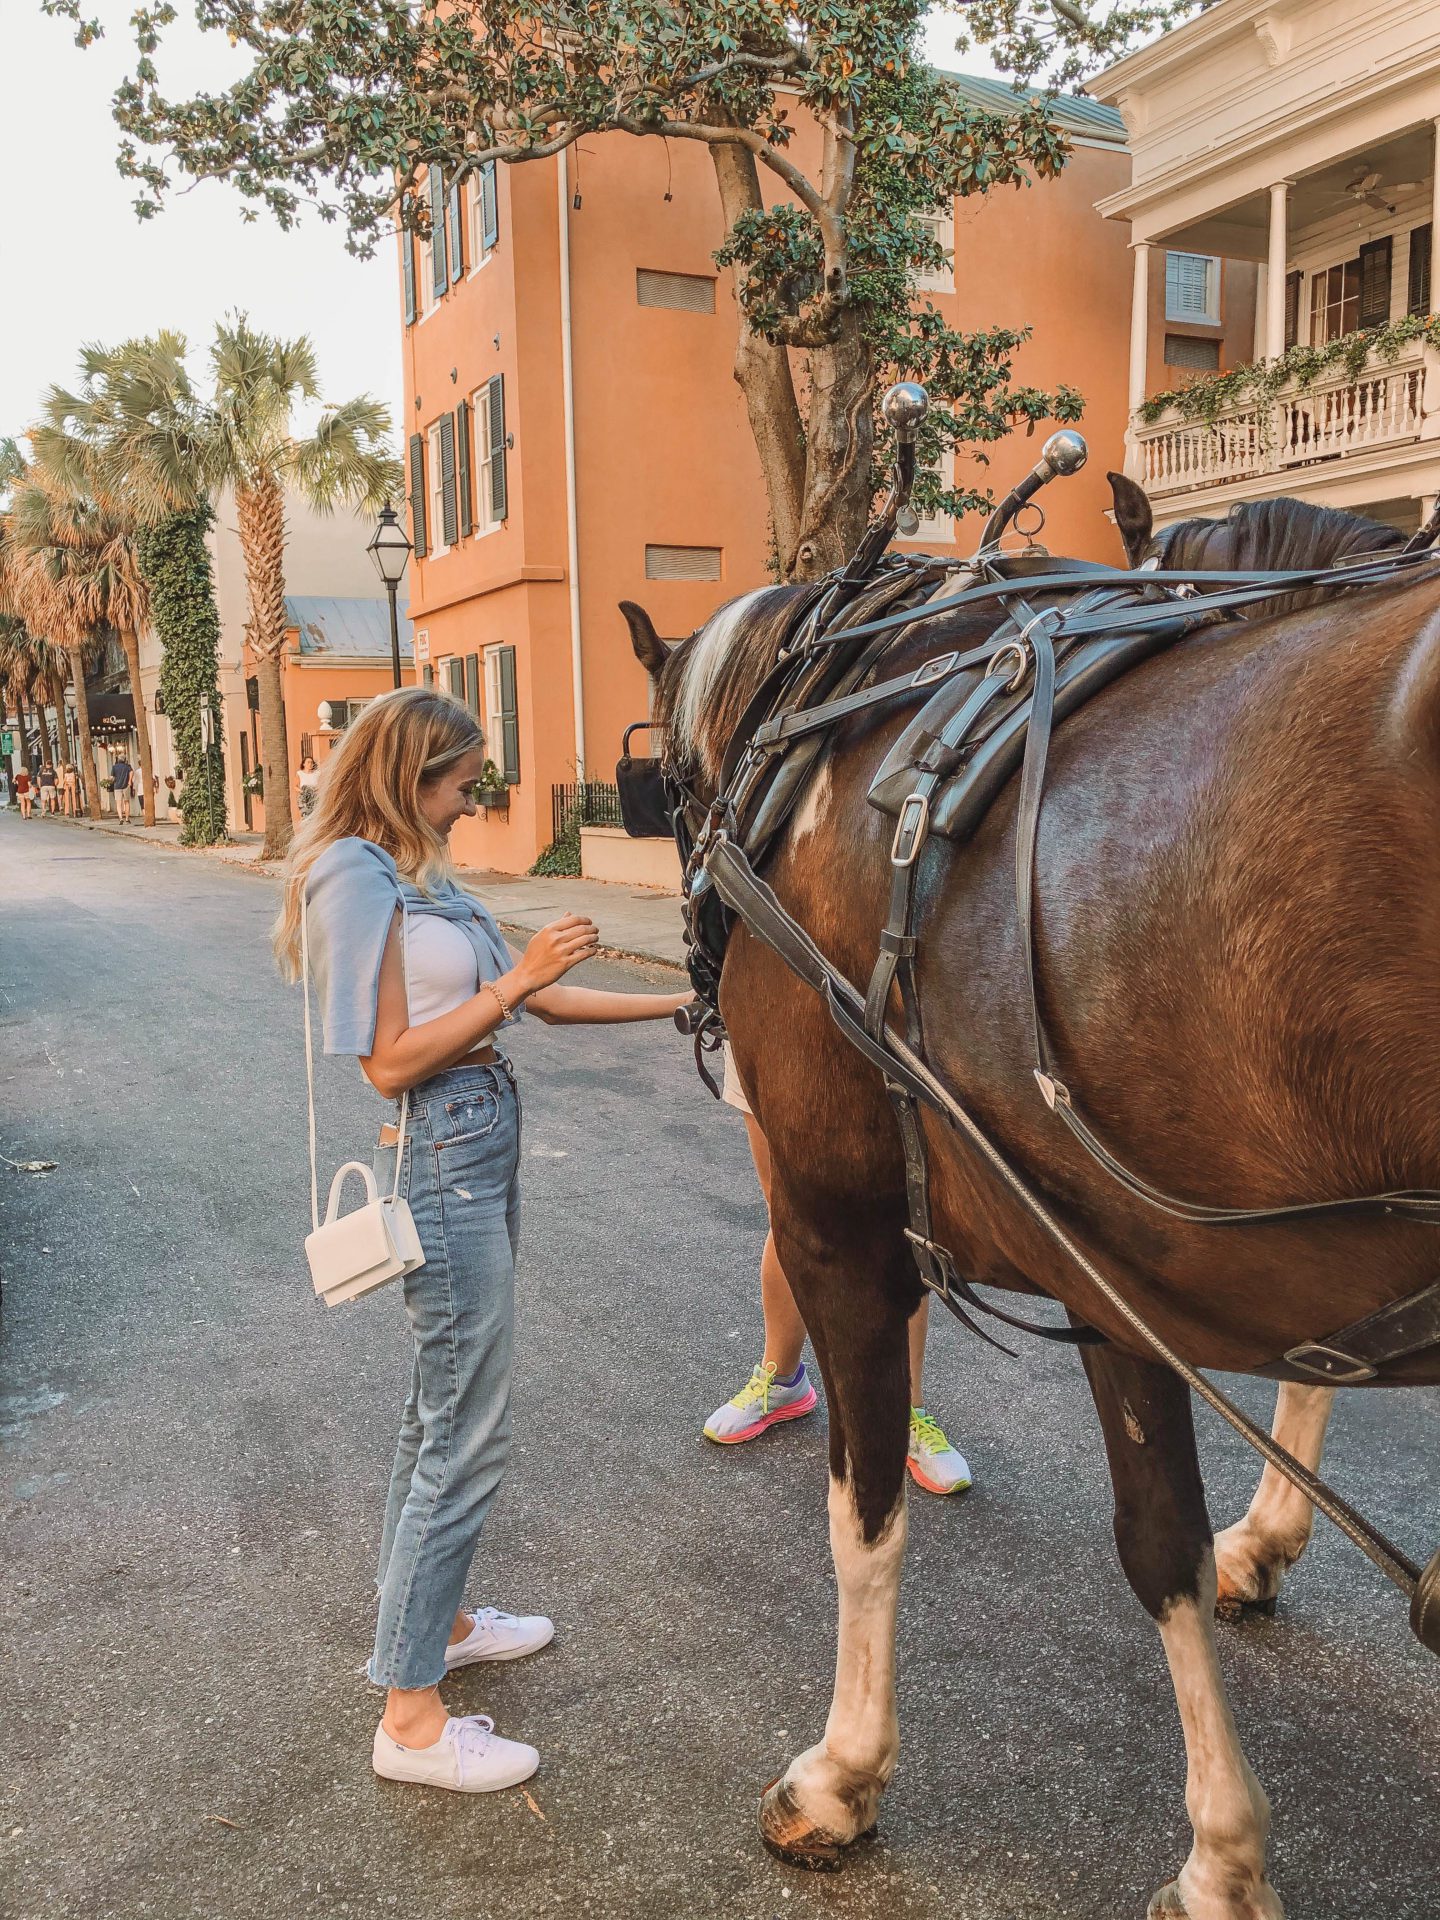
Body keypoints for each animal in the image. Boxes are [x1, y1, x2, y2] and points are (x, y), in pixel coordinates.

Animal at [625, 480, 1440, 1920]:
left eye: (669, 786)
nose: (699, 988)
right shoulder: (1118, 1271)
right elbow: (1163, 1540)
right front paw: (1224, 1847)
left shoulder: (838, 1232)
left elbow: (867, 1510)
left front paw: (843, 1774)